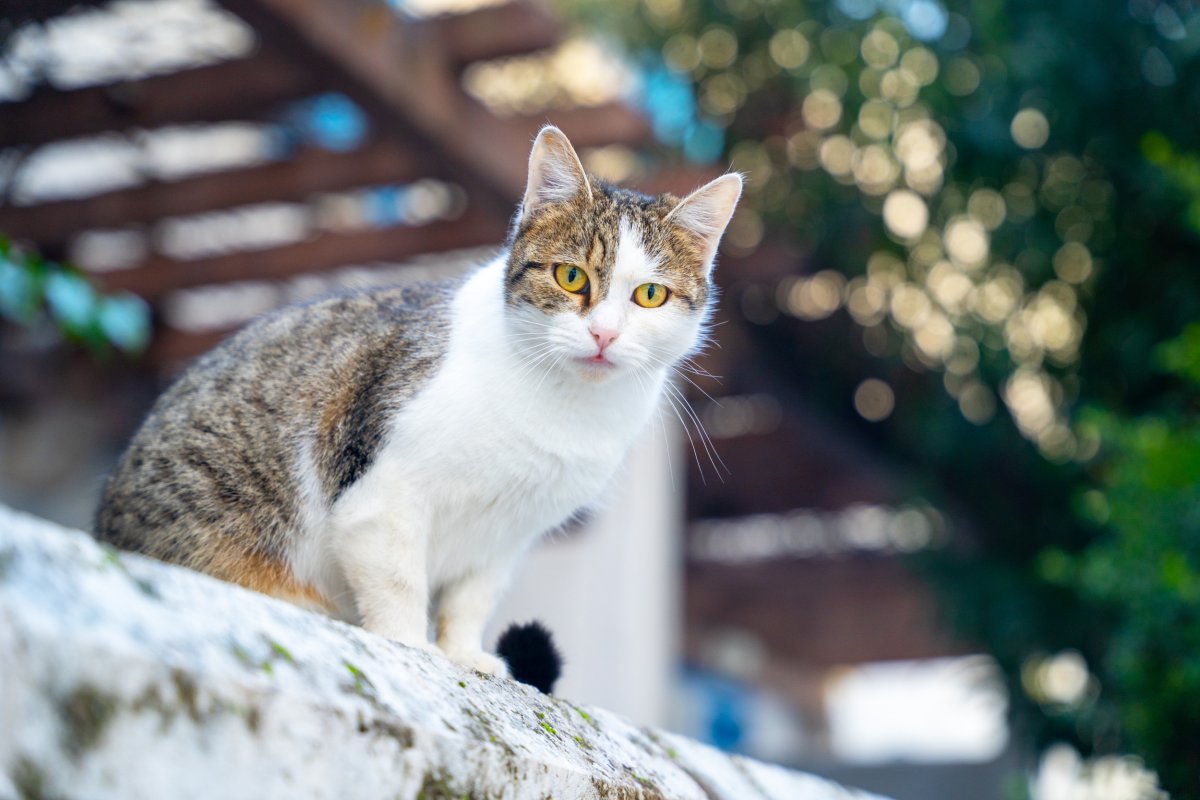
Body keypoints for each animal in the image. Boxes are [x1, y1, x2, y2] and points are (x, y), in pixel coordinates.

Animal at [98, 125, 739, 681]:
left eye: (649, 295)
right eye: (571, 277)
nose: (604, 334)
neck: (562, 406)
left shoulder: (508, 535)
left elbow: (471, 599)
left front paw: (465, 655)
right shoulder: (382, 497)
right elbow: (399, 579)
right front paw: (408, 643)